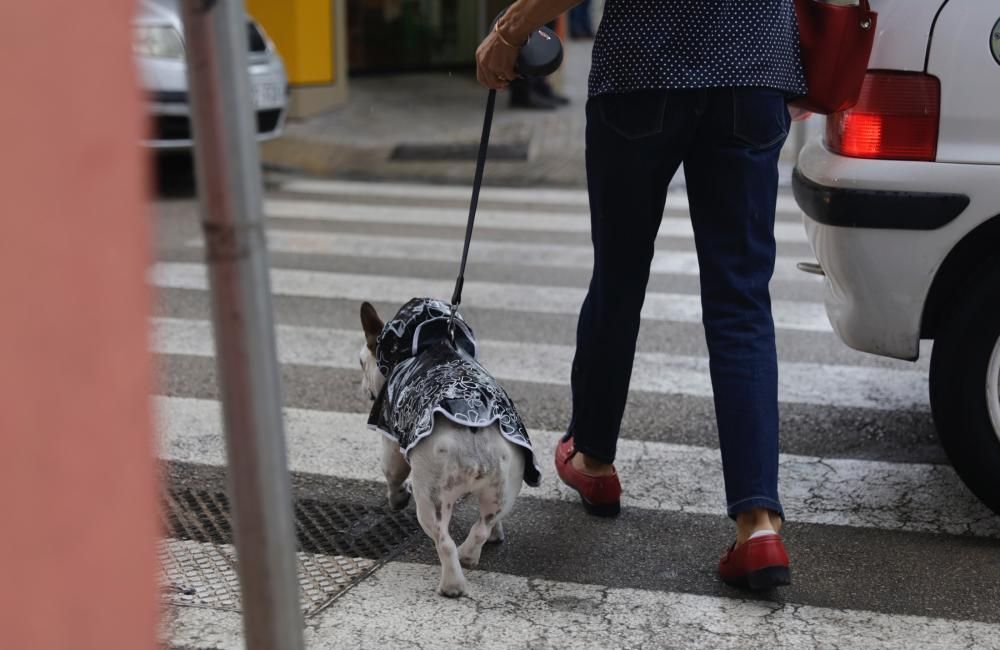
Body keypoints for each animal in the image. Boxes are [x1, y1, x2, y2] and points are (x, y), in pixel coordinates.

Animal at [360, 296, 540, 596]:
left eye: (361, 362)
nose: (362, 386)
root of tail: (474, 432)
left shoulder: (390, 438)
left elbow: (392, 473)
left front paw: (397, 499)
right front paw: (497, 534)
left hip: (430, 497)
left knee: (443, 540)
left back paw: (452, 585)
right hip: (506, 483)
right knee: (483, 523)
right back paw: (471, 553)